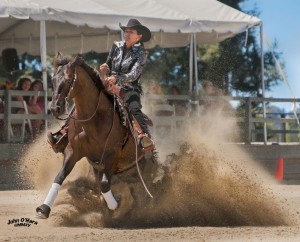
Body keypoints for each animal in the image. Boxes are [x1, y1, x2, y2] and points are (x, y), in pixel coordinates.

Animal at [35, 54, 155, 219]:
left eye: (68, 80)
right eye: (53, 80)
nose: (55, 108)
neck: (92, 119)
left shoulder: (110, 154)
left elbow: (104, 185)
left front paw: (115, 205)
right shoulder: (73, 151)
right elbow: (59, 177)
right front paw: (44, 209)